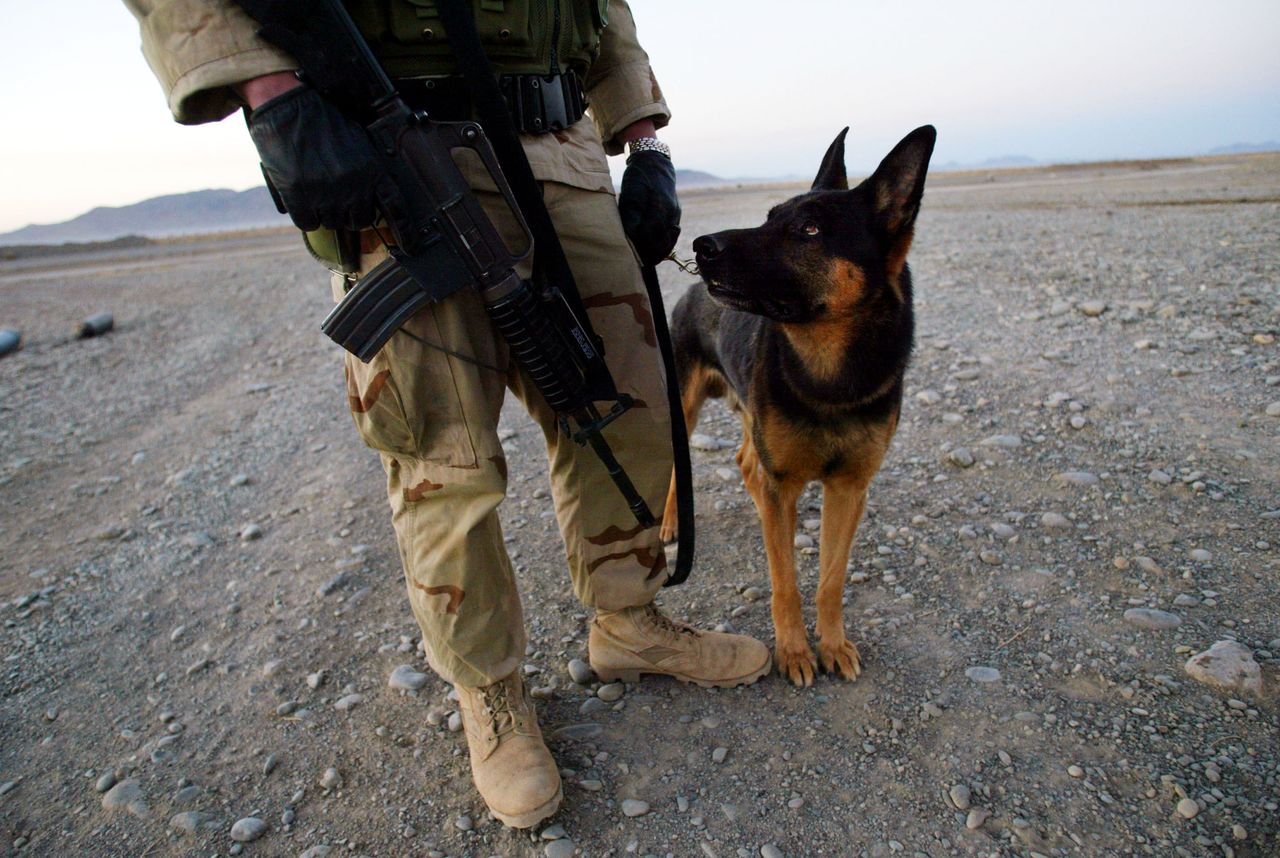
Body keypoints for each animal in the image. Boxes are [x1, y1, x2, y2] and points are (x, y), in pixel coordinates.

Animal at [665, 128, 936, 691]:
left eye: (809, 230)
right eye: (769, 218)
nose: (701, 246)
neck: (830, 375)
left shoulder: (849, 489)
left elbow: (830, 580)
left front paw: (832, 645)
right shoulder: (785, 481)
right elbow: (785, 579)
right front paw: (792, 651)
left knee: (748, 462)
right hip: (686, 404)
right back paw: (672, 523)